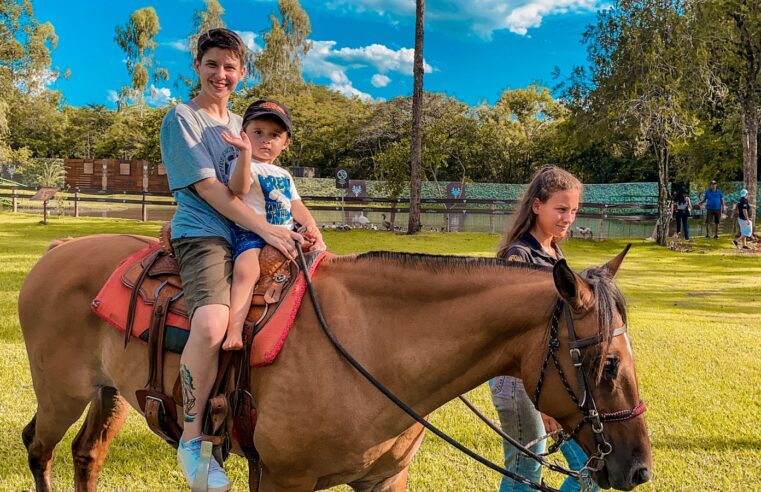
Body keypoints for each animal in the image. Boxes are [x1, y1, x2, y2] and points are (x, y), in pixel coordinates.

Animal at [17, 235, 652, 492]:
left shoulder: (384, 480)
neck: (372, 346)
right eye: (607, 364)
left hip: (110, 395)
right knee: (38, 447)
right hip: (60, 395)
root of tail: (57, 249)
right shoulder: (283, 479)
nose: (641, 469)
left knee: (86, 456)